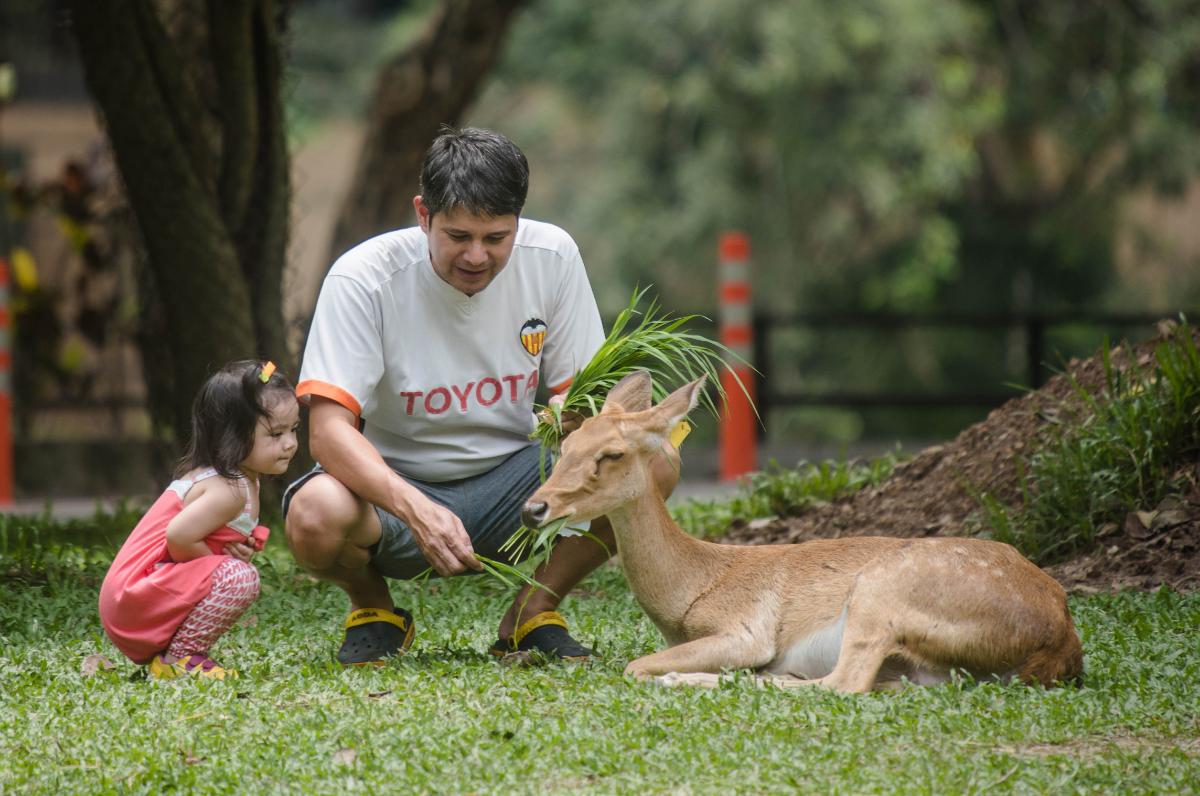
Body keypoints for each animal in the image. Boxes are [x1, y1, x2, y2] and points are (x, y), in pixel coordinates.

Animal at [520, 374, 1084, 691]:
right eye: (565, 445)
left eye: (611, 453)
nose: (533, 507)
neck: (693, 591)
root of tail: (1059, 638)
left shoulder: (745, 630)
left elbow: (636, 665)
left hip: (881, 593)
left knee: (842, 684)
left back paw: (690, 680)